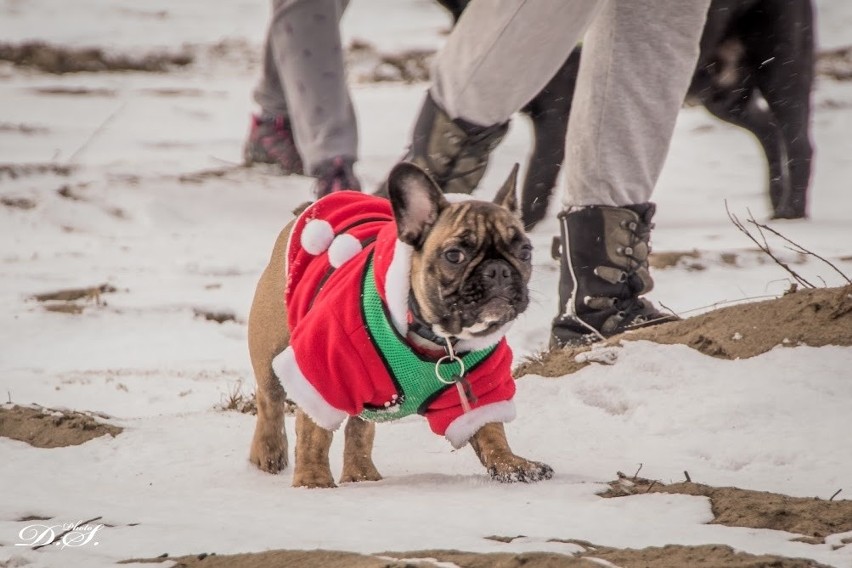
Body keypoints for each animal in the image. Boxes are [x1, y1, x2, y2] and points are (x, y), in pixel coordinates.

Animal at [246, 161, 552, 488]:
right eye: (454, 255)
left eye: (525, 251)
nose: (498, 270)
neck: (438, 337)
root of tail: (309, 209)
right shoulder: (319, 373)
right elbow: (315, 434)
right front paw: (313, 481)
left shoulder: (482, 384)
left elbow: (491, 430)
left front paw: (512, 464)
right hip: (271, 350)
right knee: (270, 402)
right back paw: (269, 454)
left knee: (360, 426)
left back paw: (362, 474)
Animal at [436, 0, 816, 226]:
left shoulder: (558, 115)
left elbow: (535, 183)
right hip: (720, 92)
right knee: (768, 130)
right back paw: (774, 202)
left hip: (780, 68)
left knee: (799, 142)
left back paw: (791, 212)